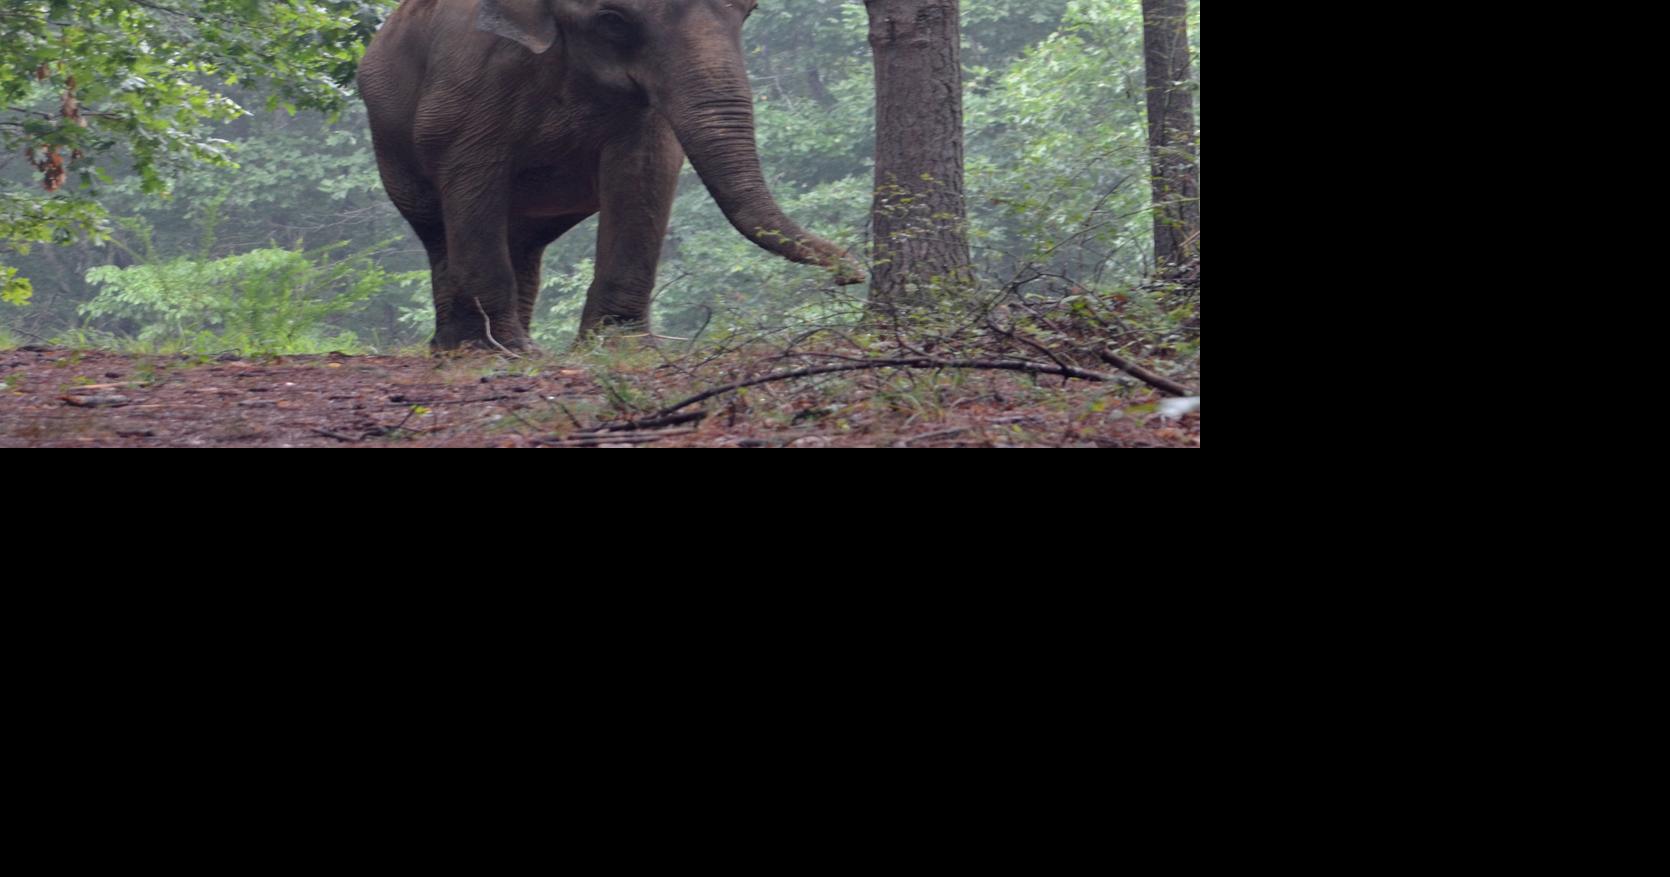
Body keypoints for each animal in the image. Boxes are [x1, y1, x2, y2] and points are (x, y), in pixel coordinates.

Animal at [358, 0, 862, 350]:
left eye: (750, 10)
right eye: (612, 19)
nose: (852, 272)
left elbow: (644, 169)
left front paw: (621, 346)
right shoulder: (471, 75)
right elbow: (470, 171)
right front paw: (493, 351)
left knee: (524, 241)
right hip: (391, 147)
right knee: (436, 227)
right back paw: (463, 347)